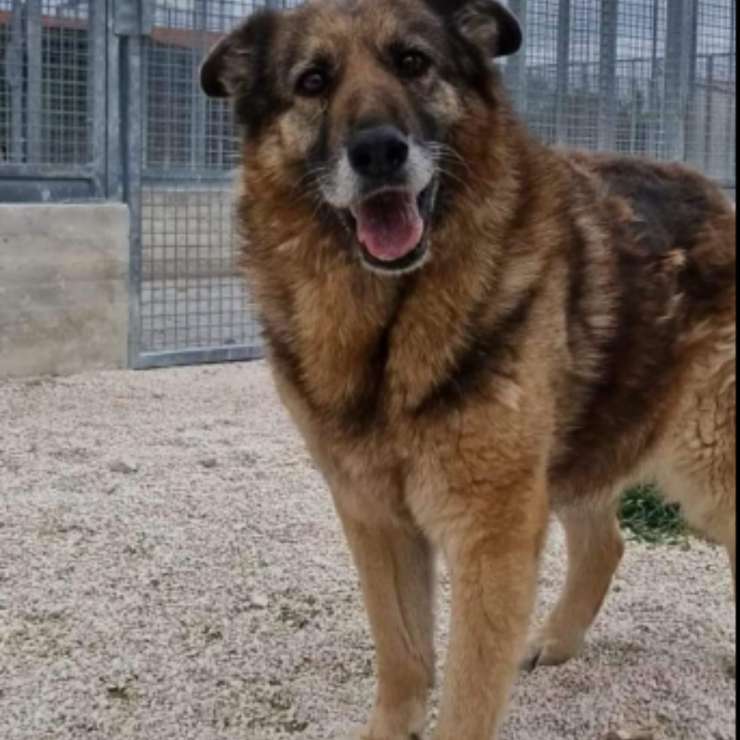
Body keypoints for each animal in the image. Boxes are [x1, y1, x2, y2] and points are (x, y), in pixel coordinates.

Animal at [200, 1, 736, 737]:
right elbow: (402, 658)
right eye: (312, 82)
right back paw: (556, 641)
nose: (378, 152)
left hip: (705, 467)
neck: (389, 329)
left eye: (413, 62)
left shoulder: (492, 534)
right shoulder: (377, 520)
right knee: (604, 544)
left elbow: (467, 696)